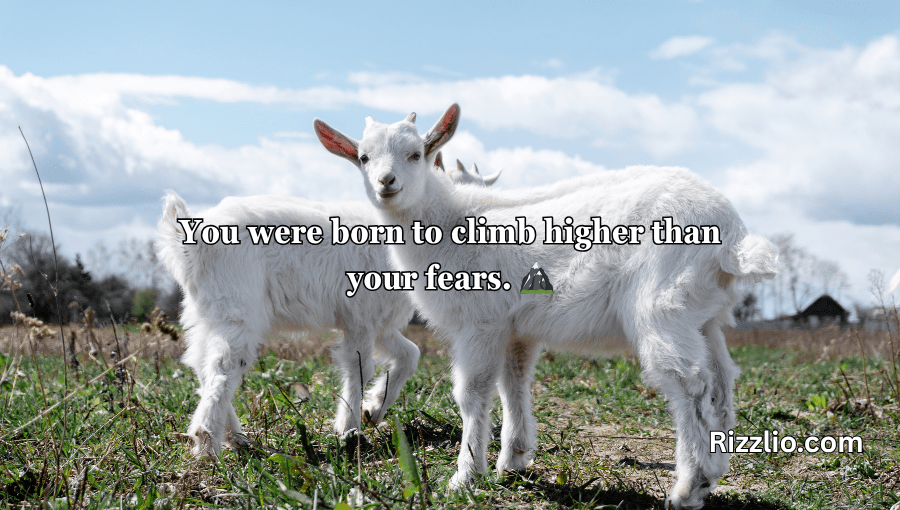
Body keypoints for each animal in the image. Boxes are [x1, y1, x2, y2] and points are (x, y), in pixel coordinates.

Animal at [157, 160, 500, 457]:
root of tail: (188, 239)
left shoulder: (379, 323)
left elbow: (410, 355)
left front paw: (373, 410)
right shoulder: (362, 318)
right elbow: (360, 367)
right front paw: (350, 431)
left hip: (206, 312)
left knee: (201, 363)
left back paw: (235, 437)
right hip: (237, 309)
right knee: (223, 368)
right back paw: (208, 445)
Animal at [314, 104, 778, 509]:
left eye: (416, 154)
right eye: (363, 157)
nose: (386, 182)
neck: (452, 223)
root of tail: (733, 236)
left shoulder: (481, 322)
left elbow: (472, 391)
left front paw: (465, 476)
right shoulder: (516, 327)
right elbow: (513, 383)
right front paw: (513, 461)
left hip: (661, 306)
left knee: (689, 383)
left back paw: (688, 488)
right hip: (703, 314)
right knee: (720, 381)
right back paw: (712, 473)